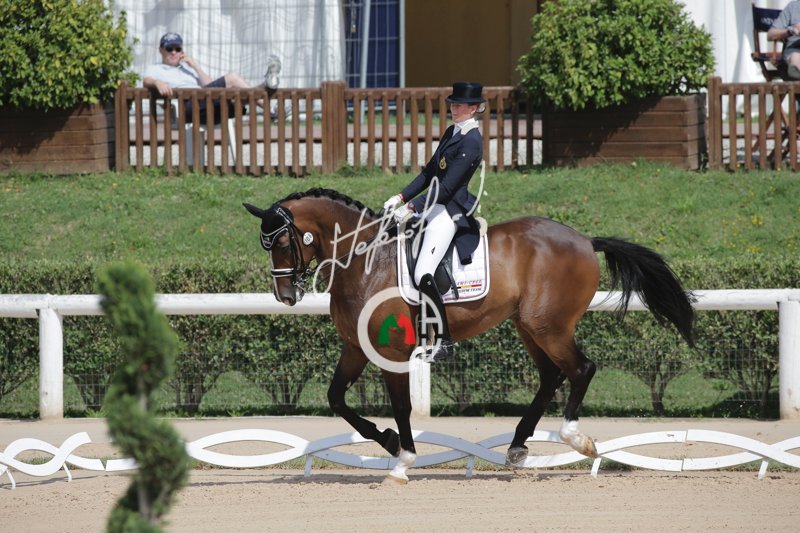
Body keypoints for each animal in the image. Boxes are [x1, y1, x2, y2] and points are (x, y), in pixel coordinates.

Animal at [243, 188, 694, 484]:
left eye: (280, 242)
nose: (285, 295)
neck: (366, 260)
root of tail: (584, 239)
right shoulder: (356, 347)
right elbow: (336, 399)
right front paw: (388, 441)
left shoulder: (391, 352)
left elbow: (402, 407)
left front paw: (403, 461)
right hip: (528, 325)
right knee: (551, 376)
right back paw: (517, 446)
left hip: (548, 325)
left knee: (581, 369)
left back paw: (576, 439)